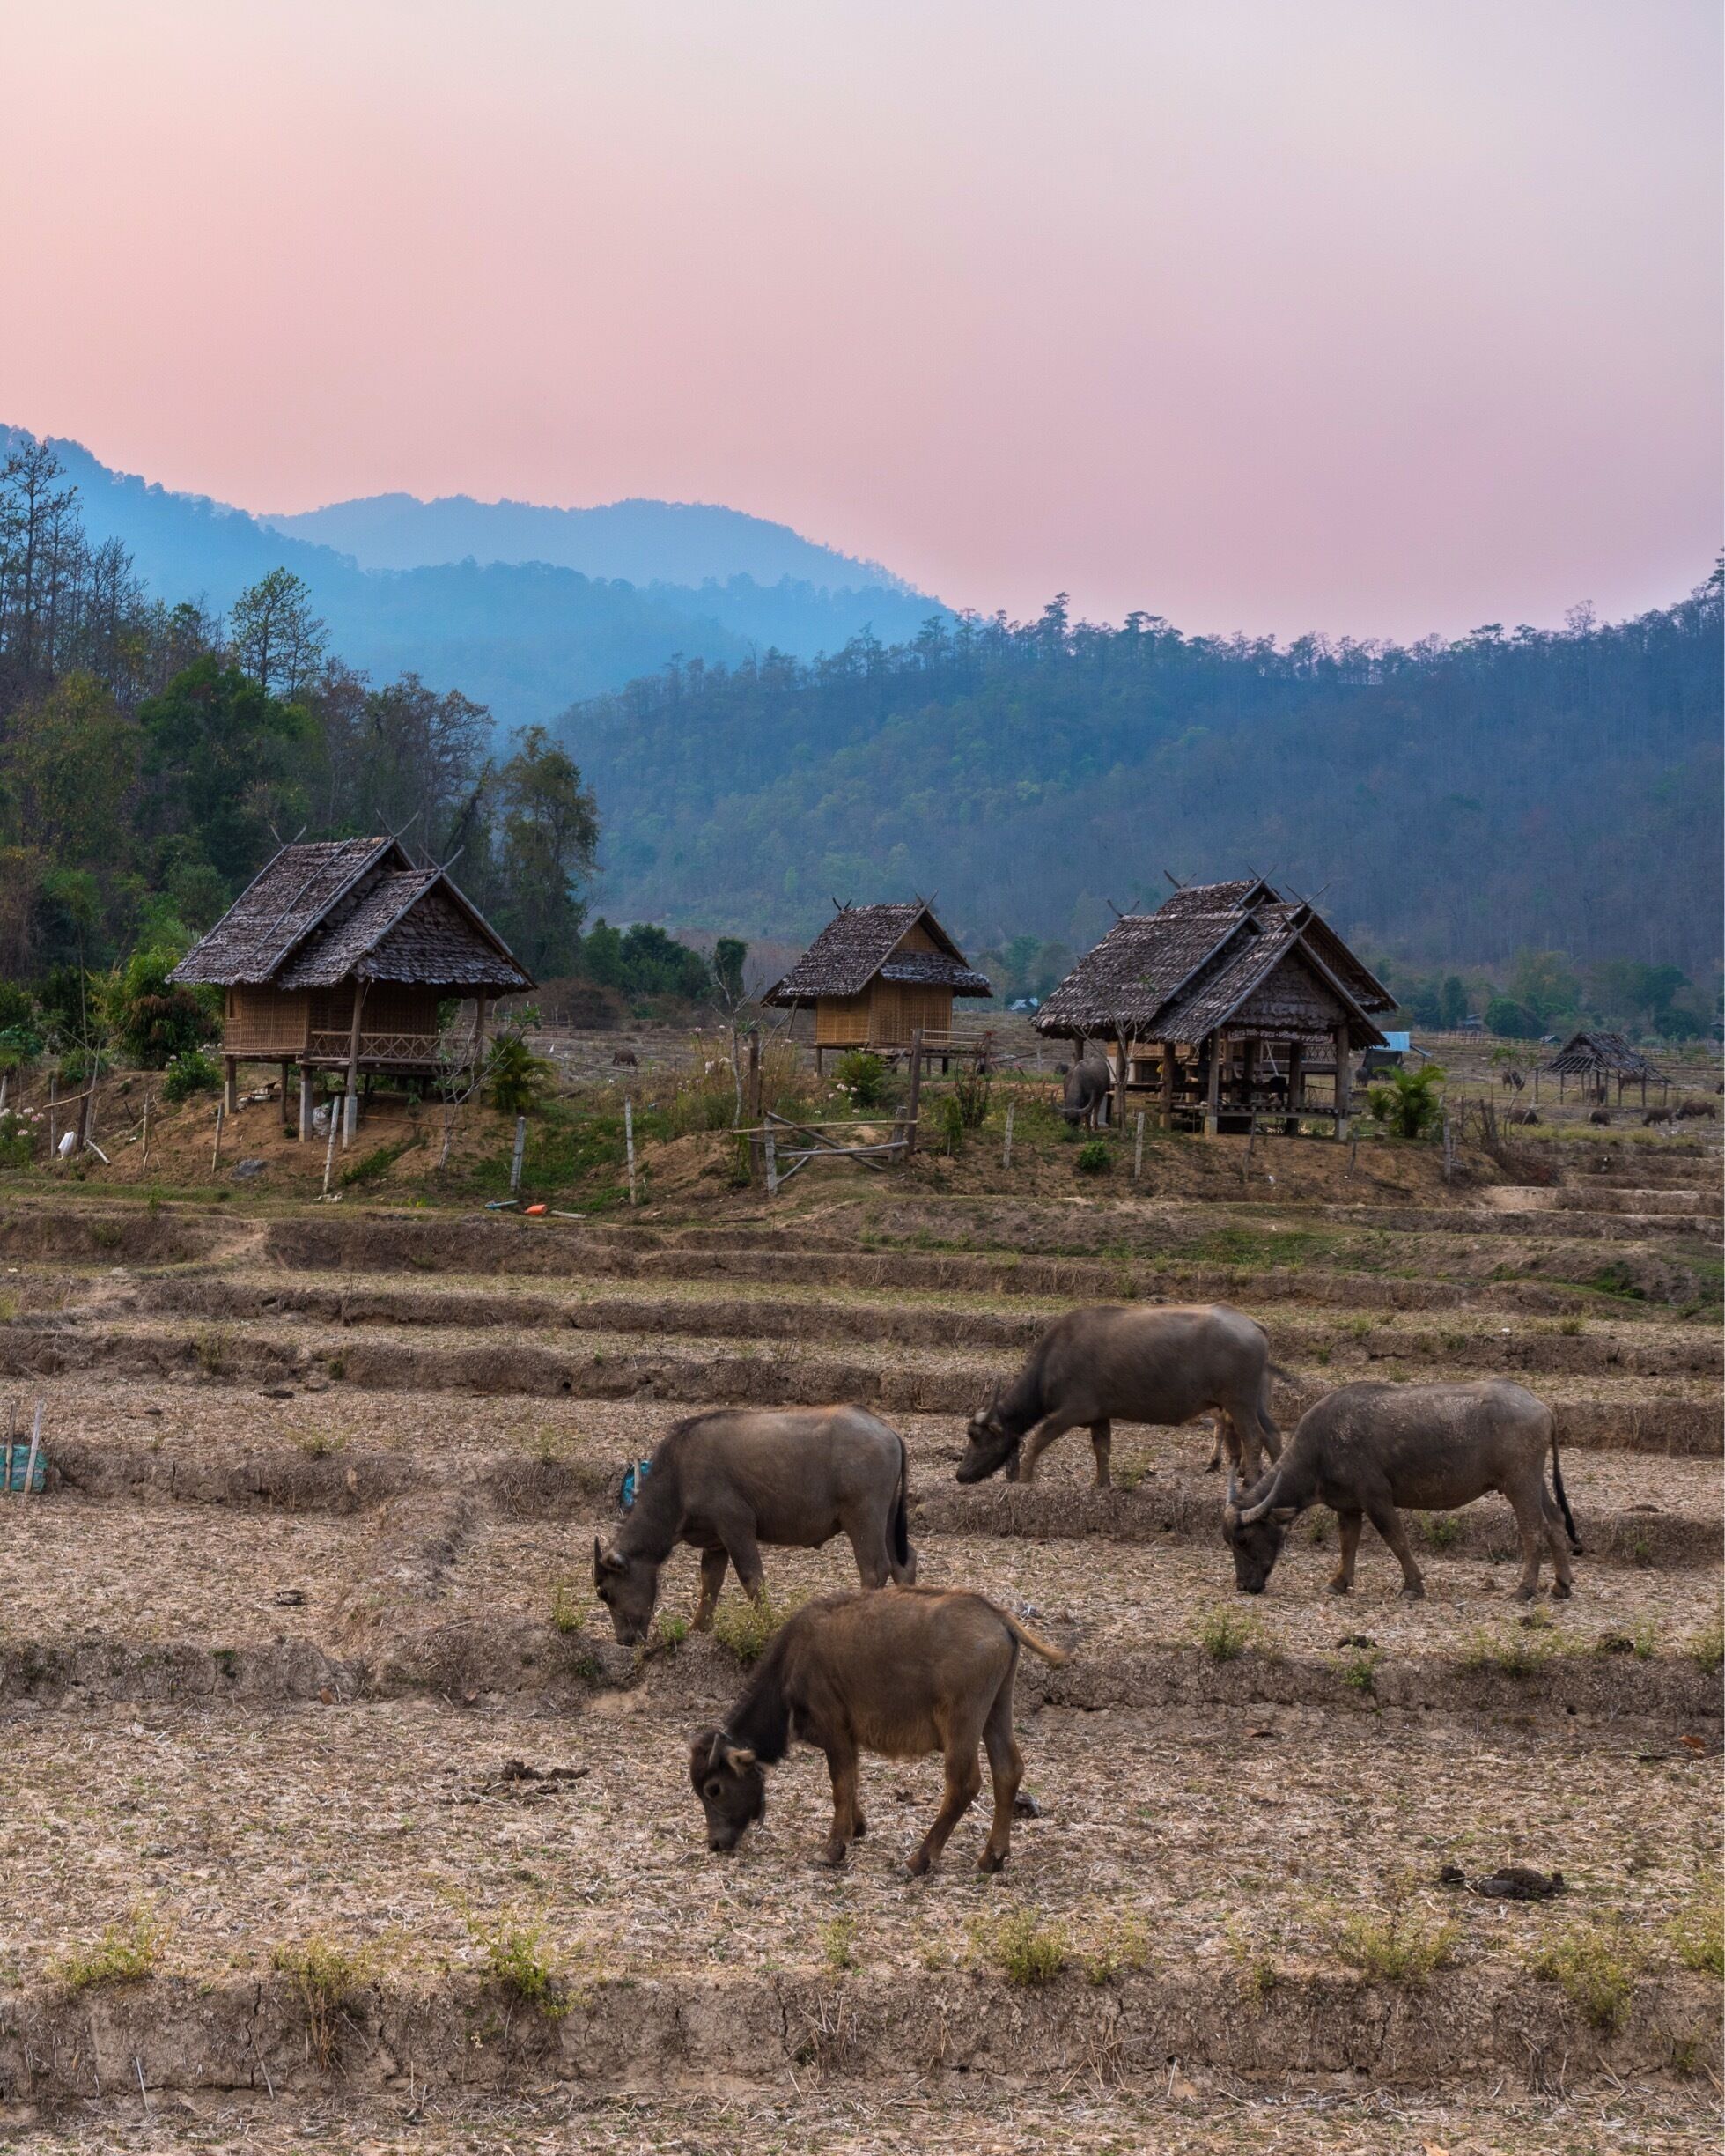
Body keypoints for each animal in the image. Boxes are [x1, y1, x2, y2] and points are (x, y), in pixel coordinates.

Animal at [594, 1406, 915, 1645]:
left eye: (605, 1592)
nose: (624, 1641)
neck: (679, 1479)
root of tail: (886, 1430)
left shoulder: (736, 1526)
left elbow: (751, 1578)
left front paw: (766, 1624)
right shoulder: (716, 1543)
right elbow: (709, 1582)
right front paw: (698, 1628)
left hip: (863, 1519)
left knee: (874, 1570)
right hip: (887, 1520)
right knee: (904, 1565)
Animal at [689, 1585, 1067, 1872]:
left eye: (714, 1789)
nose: (715, 1844)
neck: (793, 1664)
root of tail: (998, 1616)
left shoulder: (835, 1730)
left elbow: (841, 1783)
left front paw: (832, 1850)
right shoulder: (848, 1738)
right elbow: (852, 1780)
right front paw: (856, 1829)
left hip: (961, 1725)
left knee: (964, 1784)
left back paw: (917, 1861)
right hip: (996, 1713)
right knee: (1007, 1771)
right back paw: (991, 1859)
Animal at [959, 1303, 1283, 1488]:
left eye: (976, 1437)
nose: (960, 1475)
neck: (1053, 1361)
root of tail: (1253, 1325)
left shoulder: (1072, 1411)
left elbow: (1039, 1439)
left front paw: (1025, 1478)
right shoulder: (1100, 1415)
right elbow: (1102, 1448)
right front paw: (1101, 1483)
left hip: (1238, 1401)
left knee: (1253, 1437)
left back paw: (1252, 1481)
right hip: (1254, 1402)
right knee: (1272, 1434)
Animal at [1223, 1378, 1580, 1602]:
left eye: (1243, 1540)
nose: (1243, 1586)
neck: (1320, 1449)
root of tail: (1541, 1407)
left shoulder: (1376, 1498)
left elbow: (1396, 1540)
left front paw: (1412, 1586)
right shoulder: (1349, 1507)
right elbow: (1347, 1544)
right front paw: (1338, 1583)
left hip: (1519, 1483)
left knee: (1534, 1531)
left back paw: (1523, 1591)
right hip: (1534, 1481)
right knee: (1556, 1522)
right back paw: (1561, 1586)